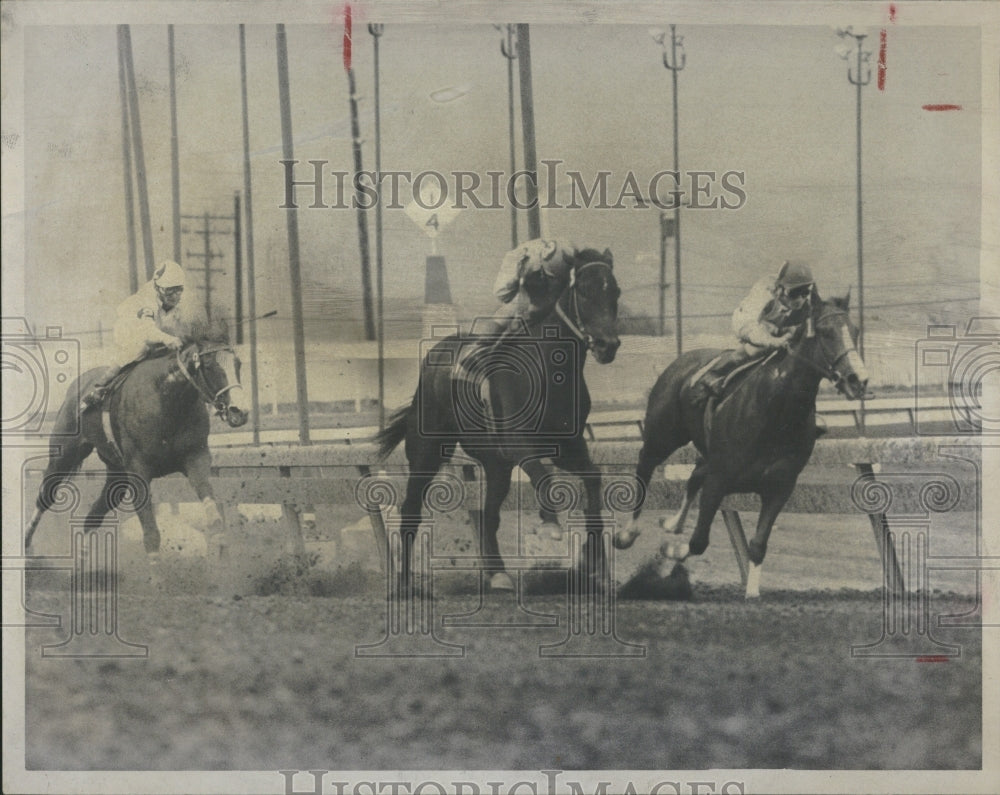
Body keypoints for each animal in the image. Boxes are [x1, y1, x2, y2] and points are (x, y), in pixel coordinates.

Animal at [25, 324, 248, 560]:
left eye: (238, 364)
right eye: (209, 365)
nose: (240, 412)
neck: (166, 400)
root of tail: (76, 387)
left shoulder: (196, 458)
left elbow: (215, 519)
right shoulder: (139, 471)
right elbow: (151, 535)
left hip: (117, 475)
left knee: (93, 515)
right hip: (63, 456)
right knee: (44, 498)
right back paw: (27, 543)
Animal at [376, 249, 616, 592]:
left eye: (615, 293)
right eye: (584, 291)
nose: (609, 345)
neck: (550, 370)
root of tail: (436, 353)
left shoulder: (568, 444)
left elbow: (593, 478)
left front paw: (594, 562)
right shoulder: (519, 443)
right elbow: (542, 477)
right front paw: (550, 525)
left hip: (496, 464)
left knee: (490, 514)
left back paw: (498, 573)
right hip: (426, 451)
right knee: (411, 509)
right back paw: (406, 581)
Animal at [608, 290, 868, 592]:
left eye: (855, 331)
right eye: (826, 332)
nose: (858, 380)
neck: (777, 413)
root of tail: (682, 359)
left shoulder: (780, 487)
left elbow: (757, 546)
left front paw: (752, 593)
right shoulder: (719, 479)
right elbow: (699, 541)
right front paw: (670, 550)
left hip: (705, 451)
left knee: (694, 474)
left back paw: (673, 523)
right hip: (663, 436)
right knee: (645, 465)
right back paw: (628, 533)